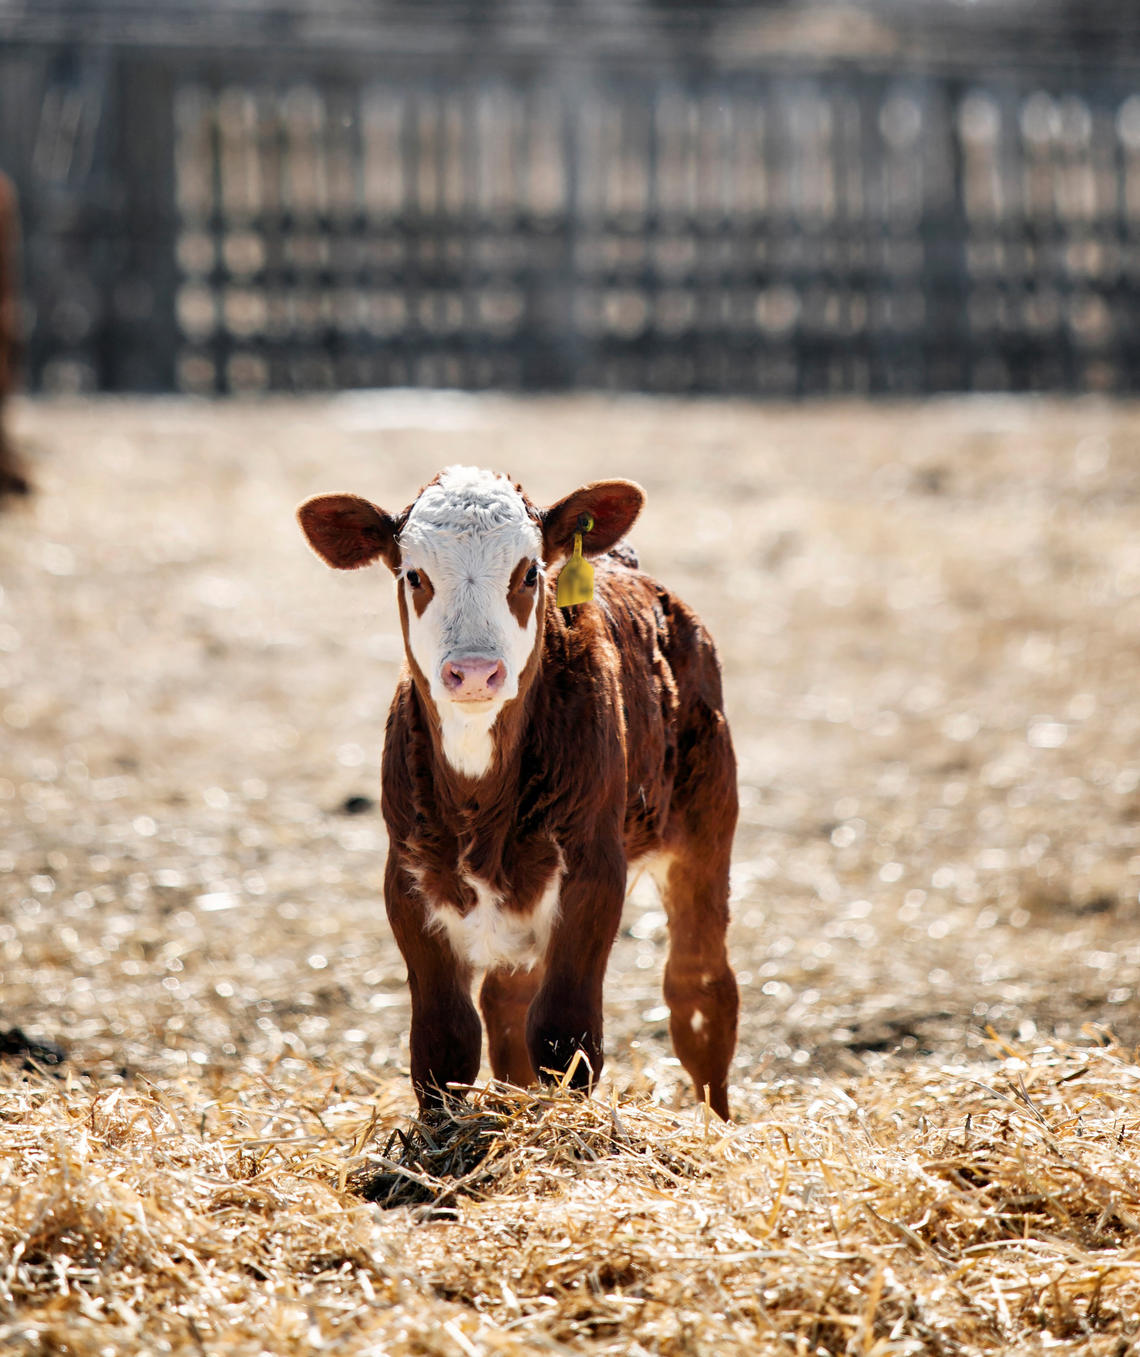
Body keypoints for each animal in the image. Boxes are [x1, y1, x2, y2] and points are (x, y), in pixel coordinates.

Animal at [294, 466, 738, 1112]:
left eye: (529, 573)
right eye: (414, 575)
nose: (475, 672)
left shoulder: (592, 868)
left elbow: (564, 1034)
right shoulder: (408, 876)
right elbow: (444, 1041)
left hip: (704, 823)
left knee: (700, 991)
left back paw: (715, 1120)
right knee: (507, 1002)